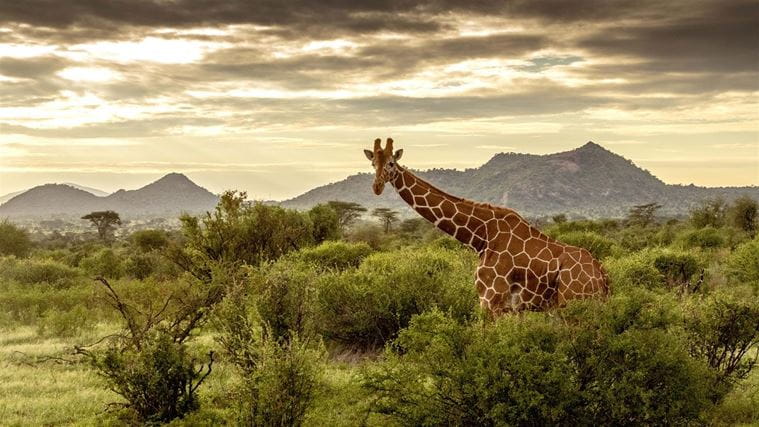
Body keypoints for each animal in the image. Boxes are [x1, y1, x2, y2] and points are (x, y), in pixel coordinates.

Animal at [364, 139, 612, 316]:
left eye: (391, 163)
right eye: (373, 164)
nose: (376, 187)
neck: (480, 236)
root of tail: (602, 276)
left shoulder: (490, 299)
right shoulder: (512, 309)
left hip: (573, 303)